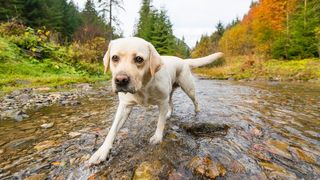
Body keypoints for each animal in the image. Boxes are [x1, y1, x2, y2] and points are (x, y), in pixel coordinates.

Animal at [86, 37, 224, 165]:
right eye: (114, 58)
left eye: (139, 59)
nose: (120, 80)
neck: (143, 87)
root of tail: (183, 60)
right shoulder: (124, 106)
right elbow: (113, 130)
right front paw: (102, 151)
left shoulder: (162, 102)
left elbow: (160, 122)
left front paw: (157, 137)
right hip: (170, 93)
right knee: (171, 104)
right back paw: (169, 114)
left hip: (188, 88)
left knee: (195, 101)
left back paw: (197, 112)